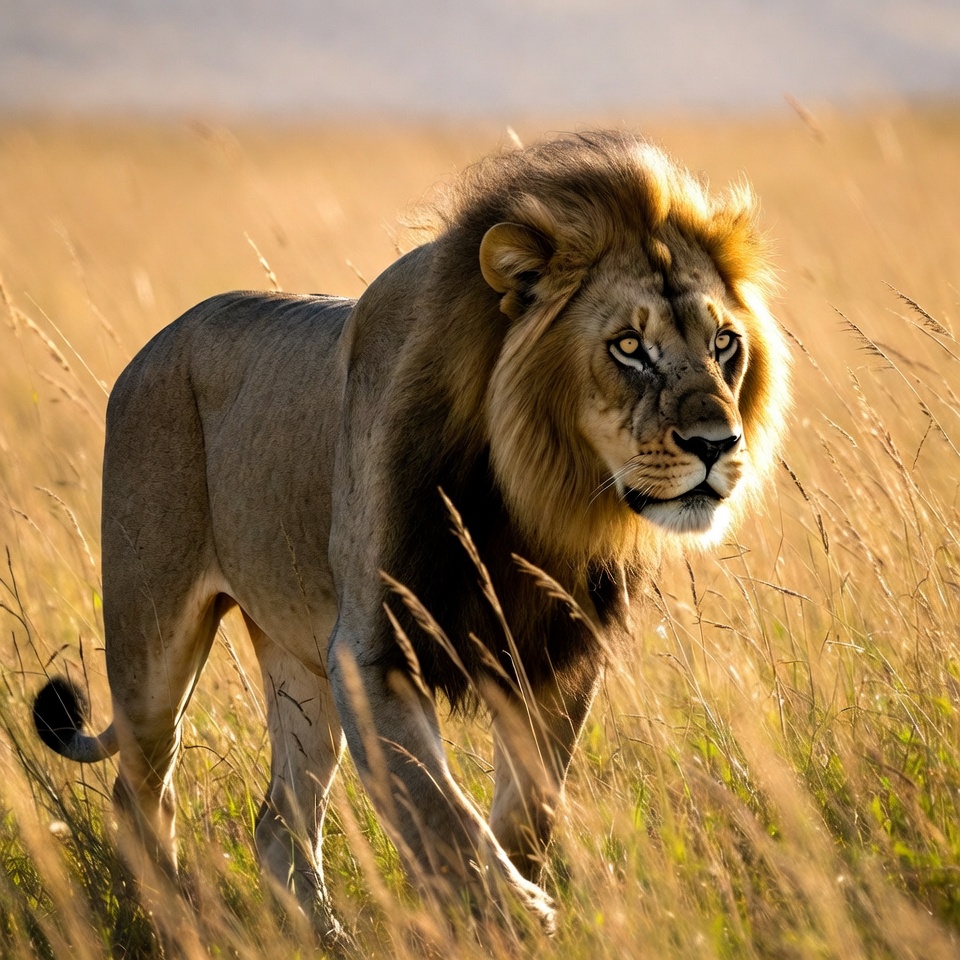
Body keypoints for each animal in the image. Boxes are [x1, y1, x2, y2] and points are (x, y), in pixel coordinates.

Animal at [33, 130, 789, 943]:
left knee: (280, 823)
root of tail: (154, 345)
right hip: (152, 642)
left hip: (299, 663)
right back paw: (168, 923)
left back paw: (326, 938)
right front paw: (516, 912)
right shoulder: (371, 653)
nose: (717, 443)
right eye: (627, 346)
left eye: (724, 343)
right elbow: (440, 813)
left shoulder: (556, 660)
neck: (534, 502)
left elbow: (529, 810)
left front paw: (515, 906)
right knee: (141, 790)